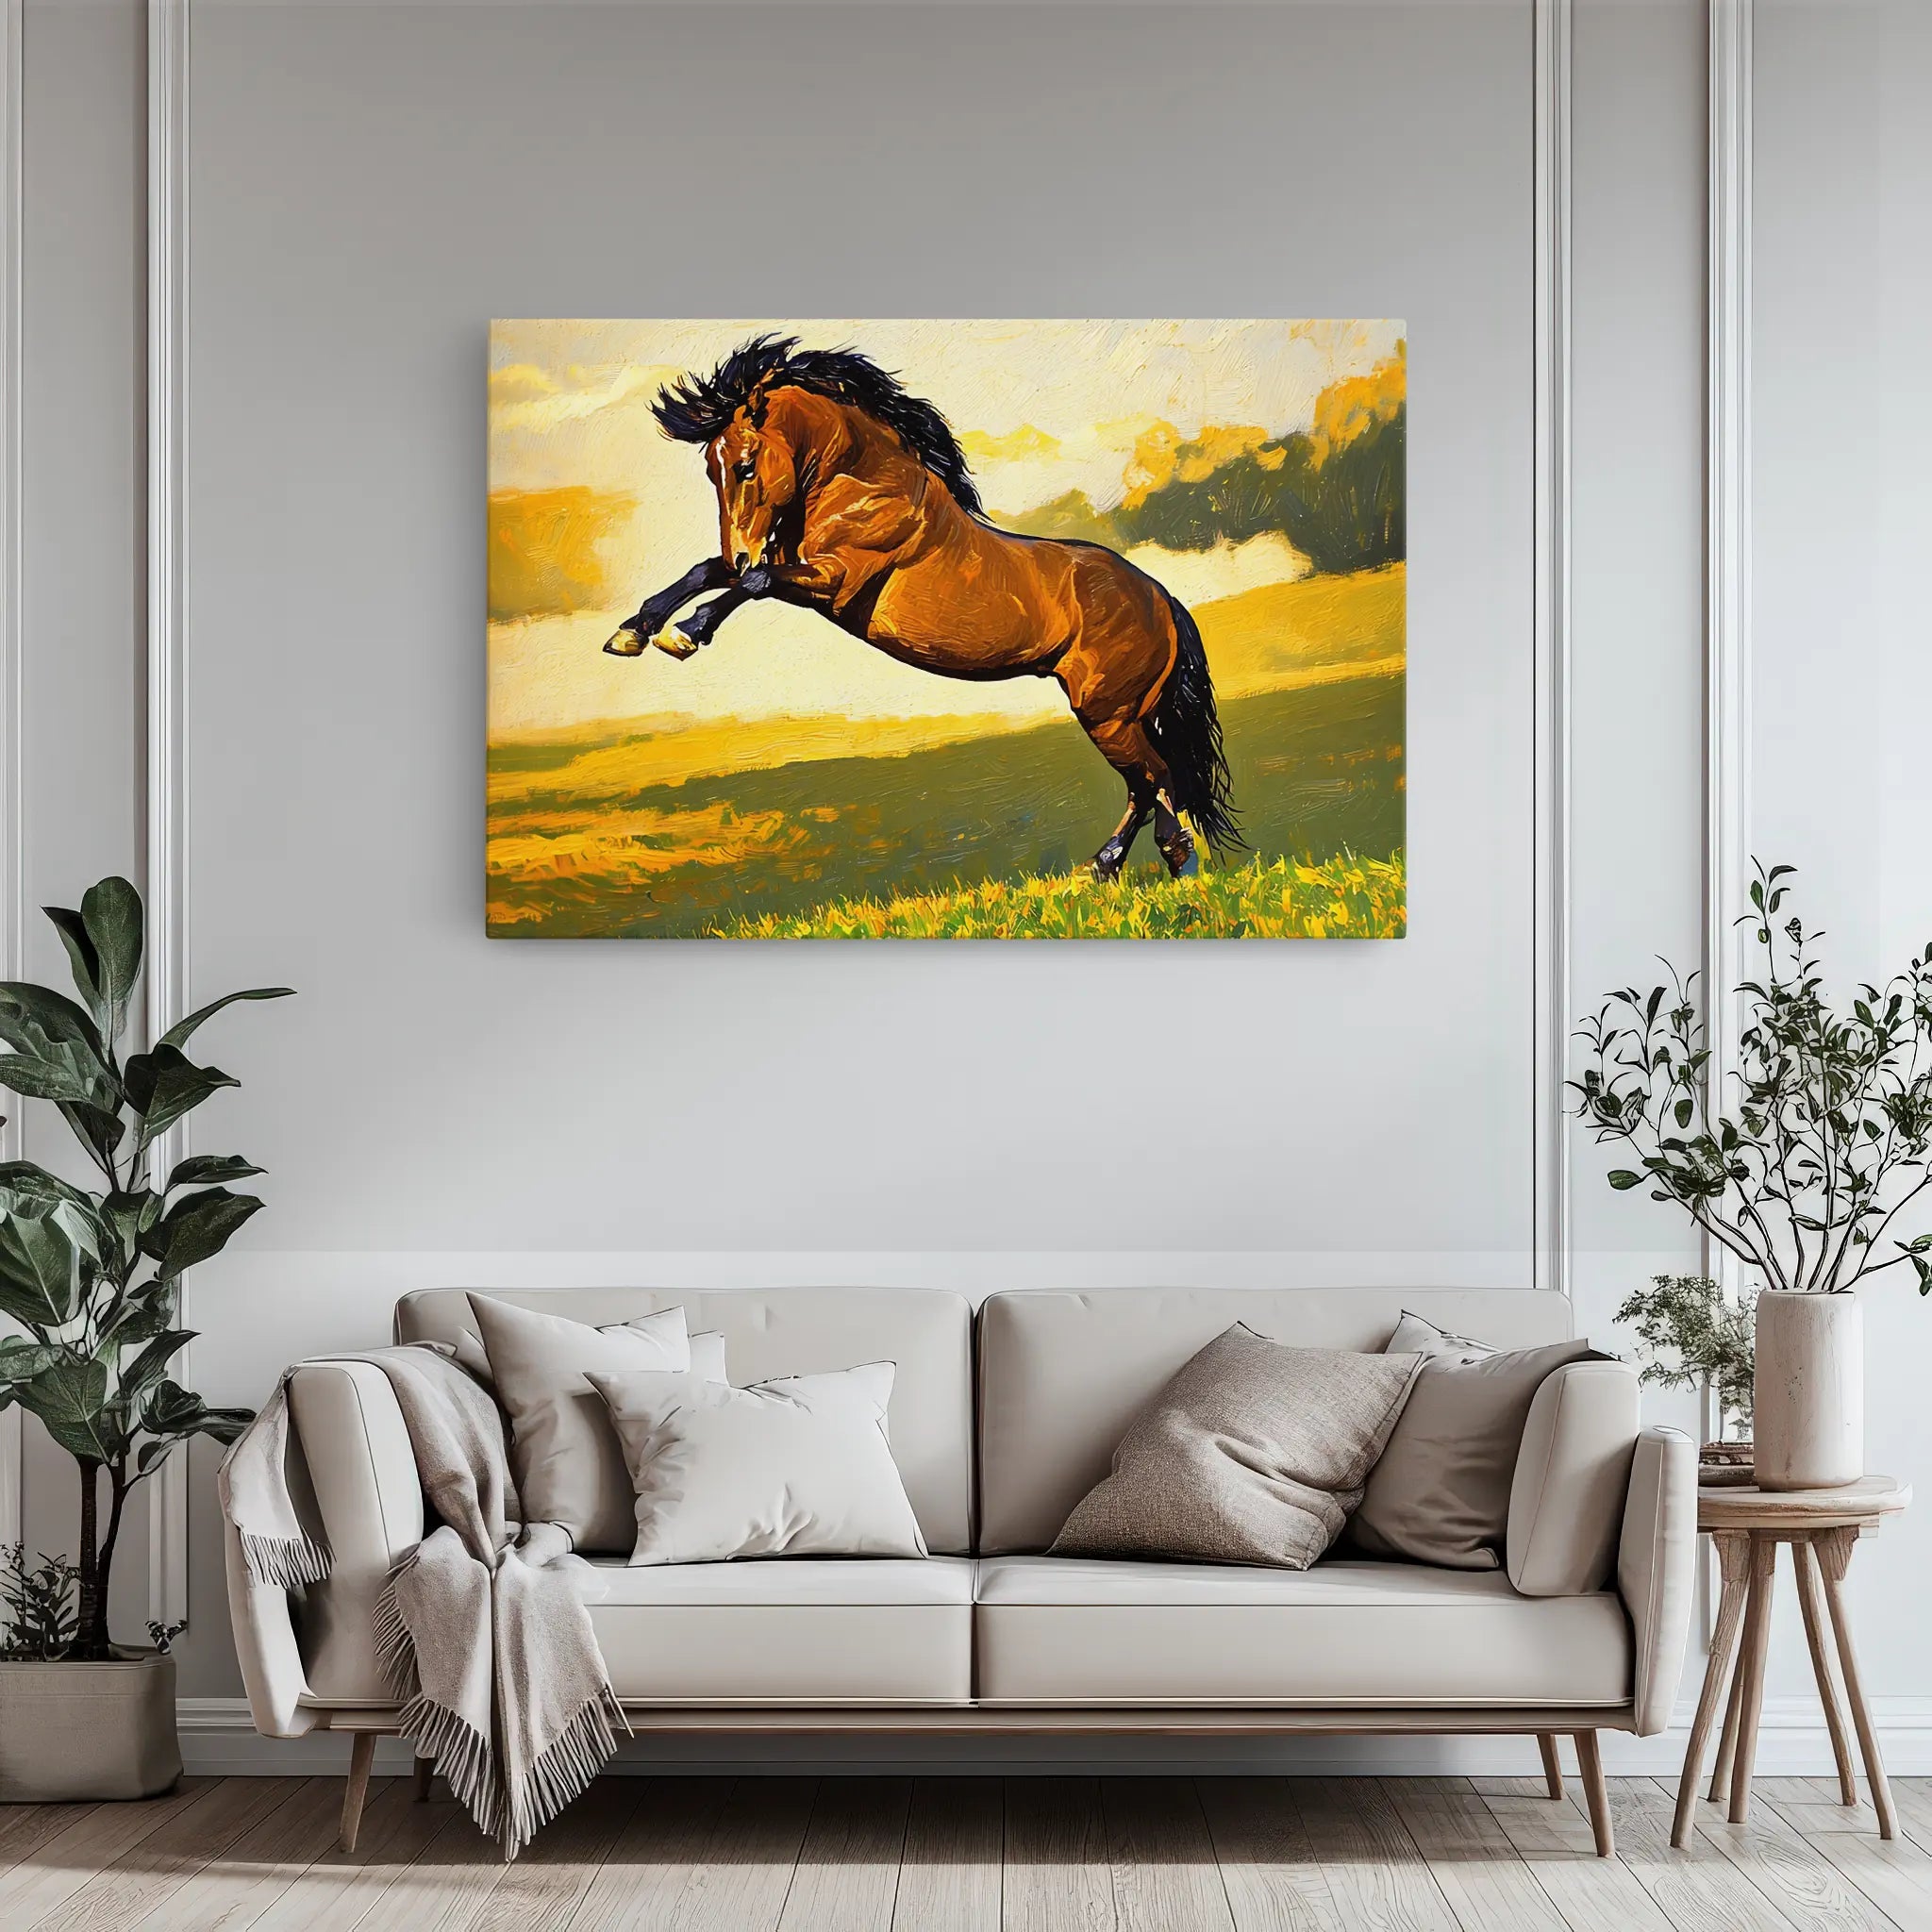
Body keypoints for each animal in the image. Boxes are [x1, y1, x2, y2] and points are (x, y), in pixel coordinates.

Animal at [603, 335, 1238, 880]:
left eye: (744, 466)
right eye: (710, 469)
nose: (740, 543)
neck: (861, 483)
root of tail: (1162, 599)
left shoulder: (833, 580)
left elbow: (751, 582)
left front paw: (685, 633)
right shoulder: (793, 565)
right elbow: (711, 572)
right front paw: (632, 632)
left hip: (1107, 712)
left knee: (1155, 779)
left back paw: (1171, 860)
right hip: (1122, 713)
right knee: (1150, 783)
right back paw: (1108, 868)